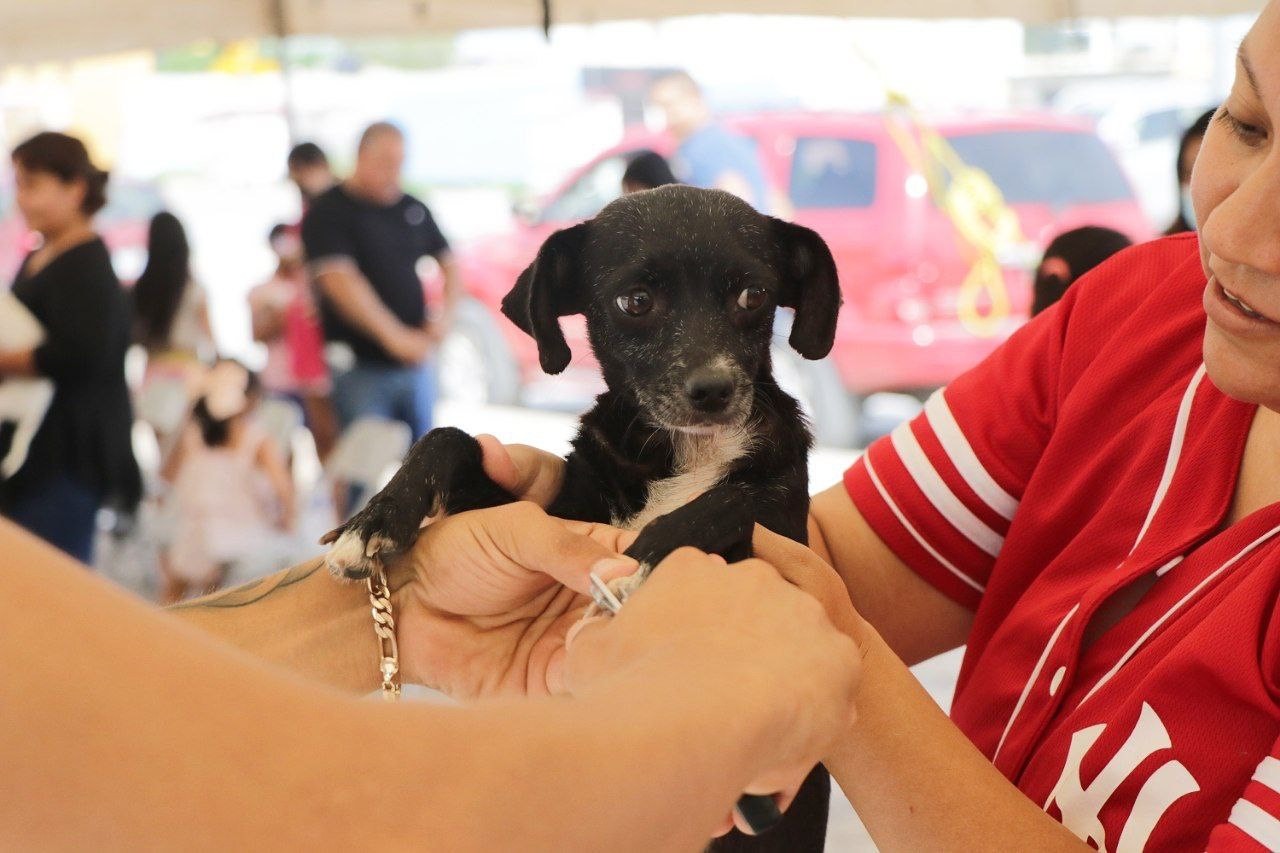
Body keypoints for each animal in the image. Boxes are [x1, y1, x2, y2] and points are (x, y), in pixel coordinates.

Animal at [322, 185, 839, 850]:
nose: (713, 390)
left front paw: (643, 561)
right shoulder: (549, 511)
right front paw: (373, 522)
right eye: (635, 301)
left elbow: (732, 501)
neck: (685, 450)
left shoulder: (778, 528)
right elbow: (447, 436)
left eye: (753, 295)